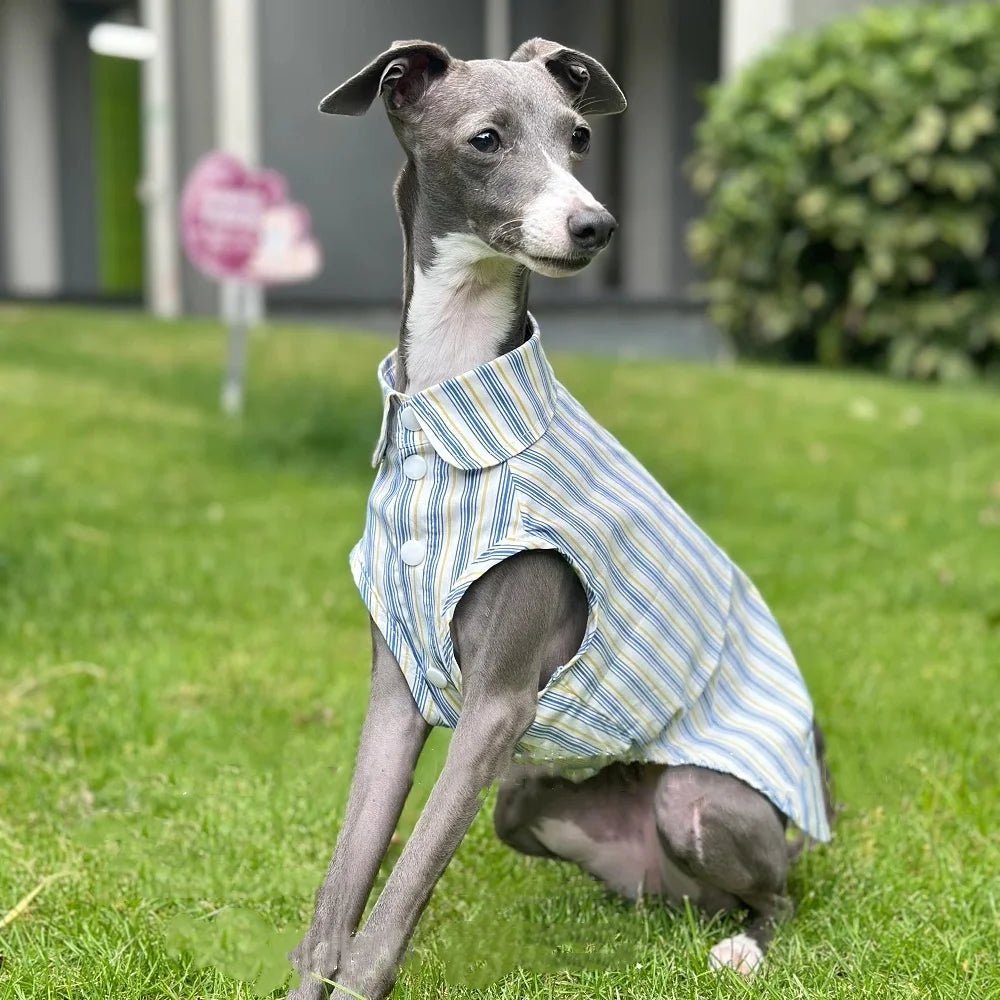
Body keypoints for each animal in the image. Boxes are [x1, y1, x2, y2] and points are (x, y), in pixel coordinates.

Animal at [286, 35, 832, 996]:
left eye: (578, 135)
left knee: (778, 899)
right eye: (485, 138)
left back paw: (742, 946)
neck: (448, 398)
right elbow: (341, 890)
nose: (595, 226)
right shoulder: (395, 693)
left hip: (696, 801)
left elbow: (393, 905)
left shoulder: (497, 706)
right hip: (524, 800)